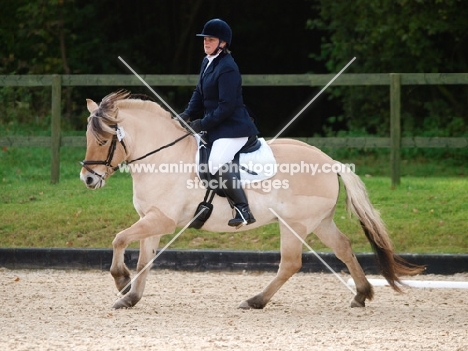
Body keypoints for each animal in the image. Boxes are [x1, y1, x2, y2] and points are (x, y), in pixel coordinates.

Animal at [79, 91, 420, 310]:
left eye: (104, 140)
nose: (88, 179)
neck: (162, 157)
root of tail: (331, 161)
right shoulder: (152, 220)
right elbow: (144, 259)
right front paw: (130, 296)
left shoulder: (162, 219)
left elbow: (118, 238)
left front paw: (121, 281)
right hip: (319, 222)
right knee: (344, 248)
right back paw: (361, 295)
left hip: (294, 224)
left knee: (291, 263)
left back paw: (256, 301)